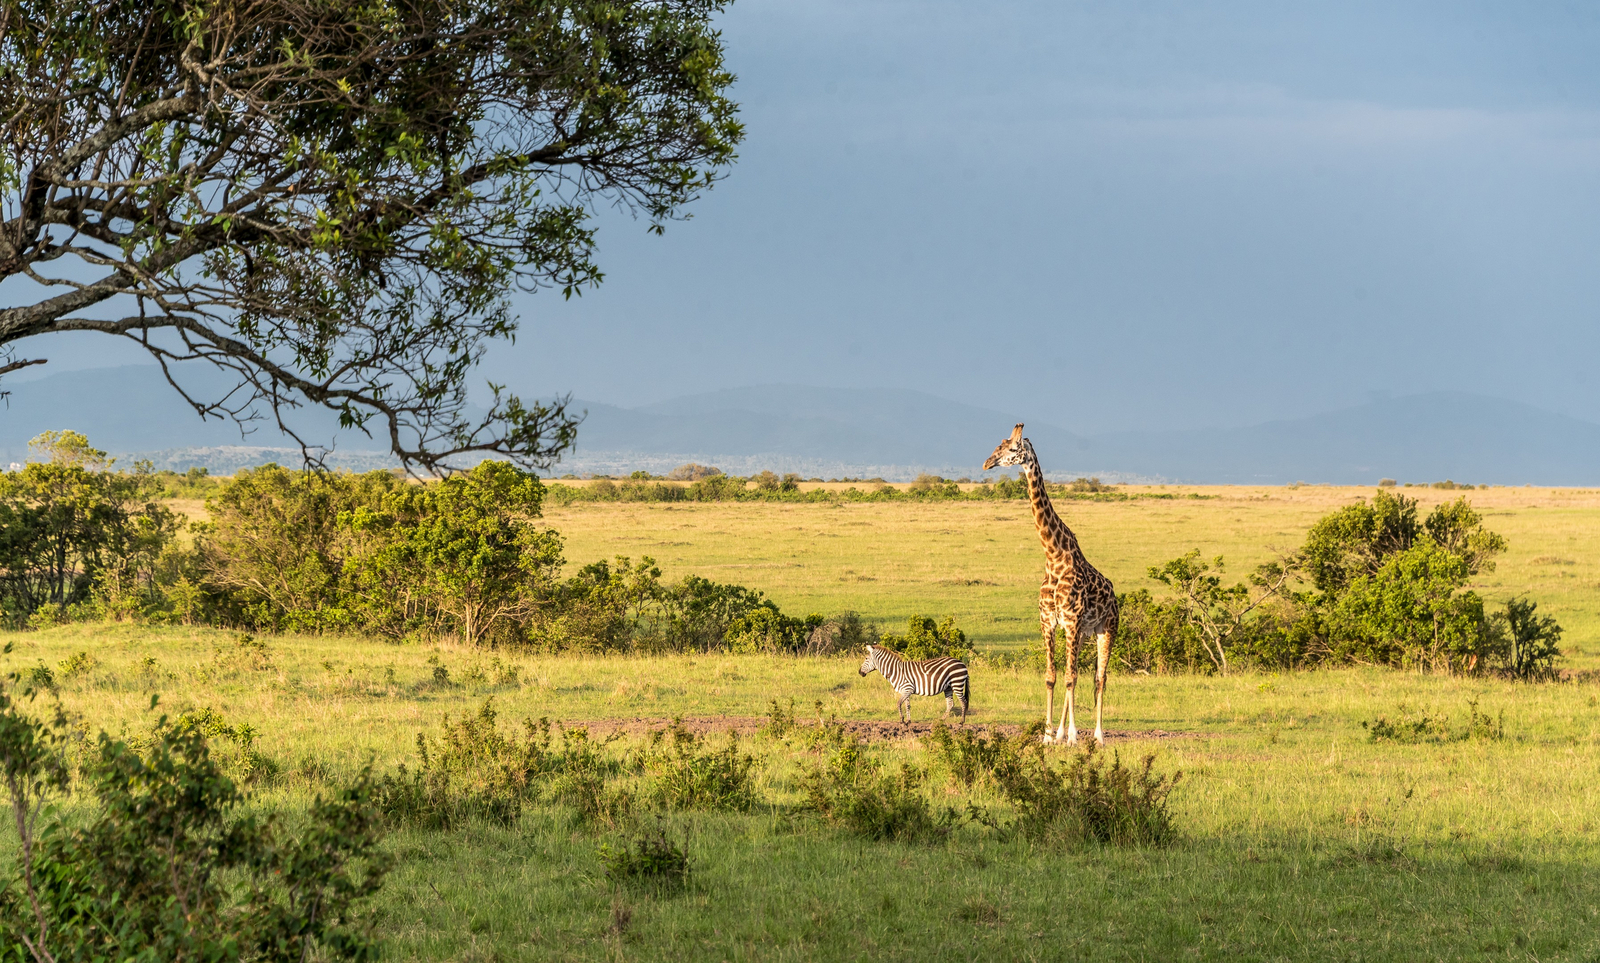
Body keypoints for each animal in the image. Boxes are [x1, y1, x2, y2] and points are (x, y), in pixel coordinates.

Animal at [984, 424, 1118, 745]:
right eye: (997, 446)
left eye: (1012, 449)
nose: (987, 464)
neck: (1053, 555)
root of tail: (1115, 595)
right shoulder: (1049, 621)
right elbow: (1052, 677)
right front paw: (1048, 736)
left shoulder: (1070, 621)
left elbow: (1071, 677)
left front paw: (1073, 736)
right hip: (1081, 633)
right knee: (1079, 674)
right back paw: (1060, 732)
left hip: (1106, 628)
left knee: (1100, 677)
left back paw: (1097, 735)